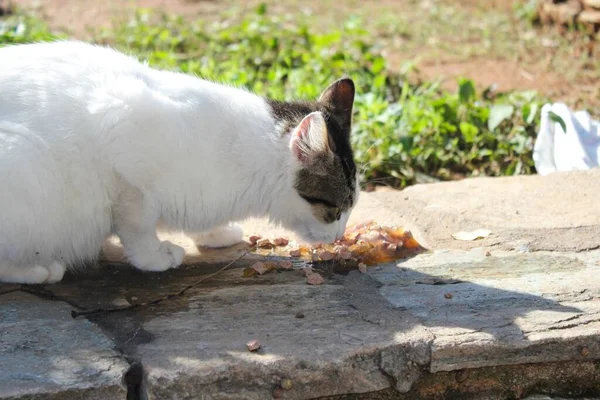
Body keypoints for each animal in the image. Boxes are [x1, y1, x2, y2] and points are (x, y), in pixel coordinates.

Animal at [0, 39, 356, 284]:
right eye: (334, 209)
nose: (340, 236)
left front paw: (216, 233)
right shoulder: (126, 157)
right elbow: (138, 226)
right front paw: (155, 256)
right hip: (25, 163)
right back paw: (39, 269)